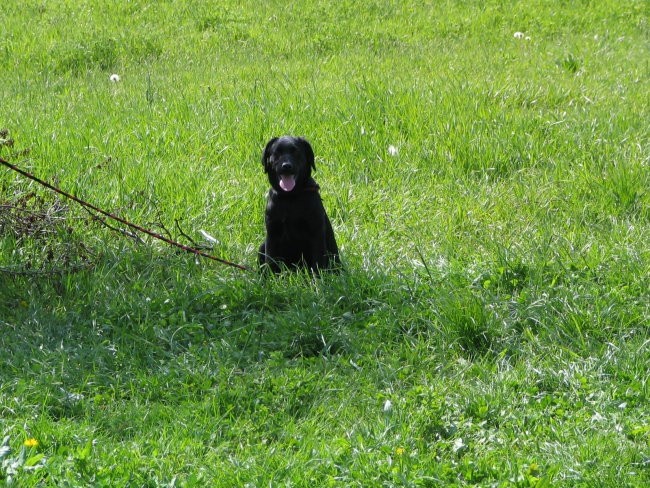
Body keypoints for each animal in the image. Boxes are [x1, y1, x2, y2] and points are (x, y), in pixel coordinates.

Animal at [258, 135, 340, 272]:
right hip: (262, 246)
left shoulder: (316, 233)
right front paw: (270, 278)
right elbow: (270, 261)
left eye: (295, 152)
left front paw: (317, 278)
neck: (289, 197)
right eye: (277, 153)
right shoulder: (272, 234)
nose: (286, 166)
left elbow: (317, 262)